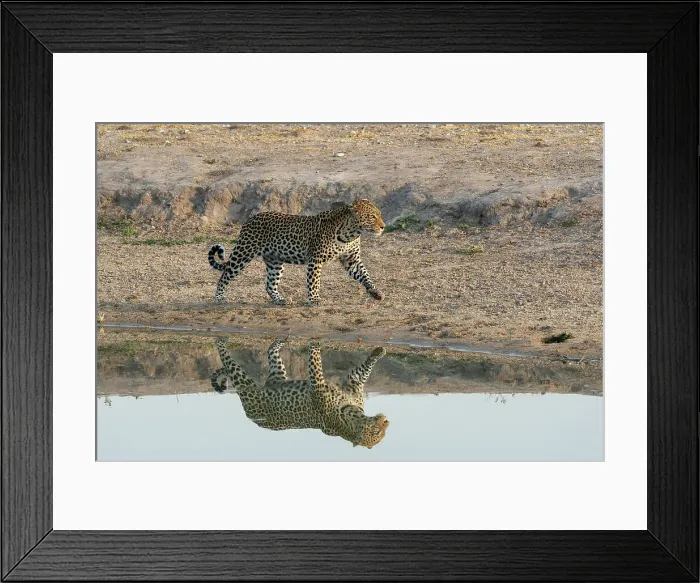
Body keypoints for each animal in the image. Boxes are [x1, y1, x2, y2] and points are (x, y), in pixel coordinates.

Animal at [208, 198, 385, 305]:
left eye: (379, 215)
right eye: (372, 217)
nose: (383, 227)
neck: (351, 233)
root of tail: (249, 219)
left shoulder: (352, 260)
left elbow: (365, 275)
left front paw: (375, 292)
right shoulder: (316, 260)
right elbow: (314, 281)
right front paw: (314, 299)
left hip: (275, 261)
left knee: (270, 284)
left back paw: (279, 299)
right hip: (244, 253)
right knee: (225, 275)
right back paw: (219, 297)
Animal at [210, 337, 390, 449]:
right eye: (376, 432)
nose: (387, 421)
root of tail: (254, 419)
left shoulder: (352, 384)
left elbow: (363, 370)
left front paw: (378, 352)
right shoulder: (321, 385)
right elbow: (316, 361)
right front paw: (314, 344)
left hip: (278, 376)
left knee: (270, 351)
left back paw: (279, 341)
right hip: (245, 383)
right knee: (228, 361)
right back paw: (221, 340)